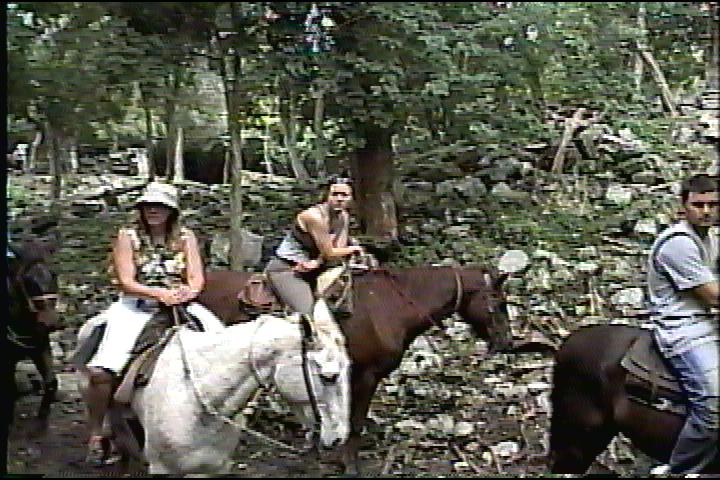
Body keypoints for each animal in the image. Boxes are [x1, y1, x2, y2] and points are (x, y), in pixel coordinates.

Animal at [6, 239, 60, 420]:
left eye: (53, 274)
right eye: (27, 279)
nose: (50, 323)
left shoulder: (41, 346)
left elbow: (51, 382)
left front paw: (43, 415)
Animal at [195, 264, 512, 474]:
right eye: (498, 302)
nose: (507, 342)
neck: (390, 307)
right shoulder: (366, 376)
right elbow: (355, 422)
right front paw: (349, 465)